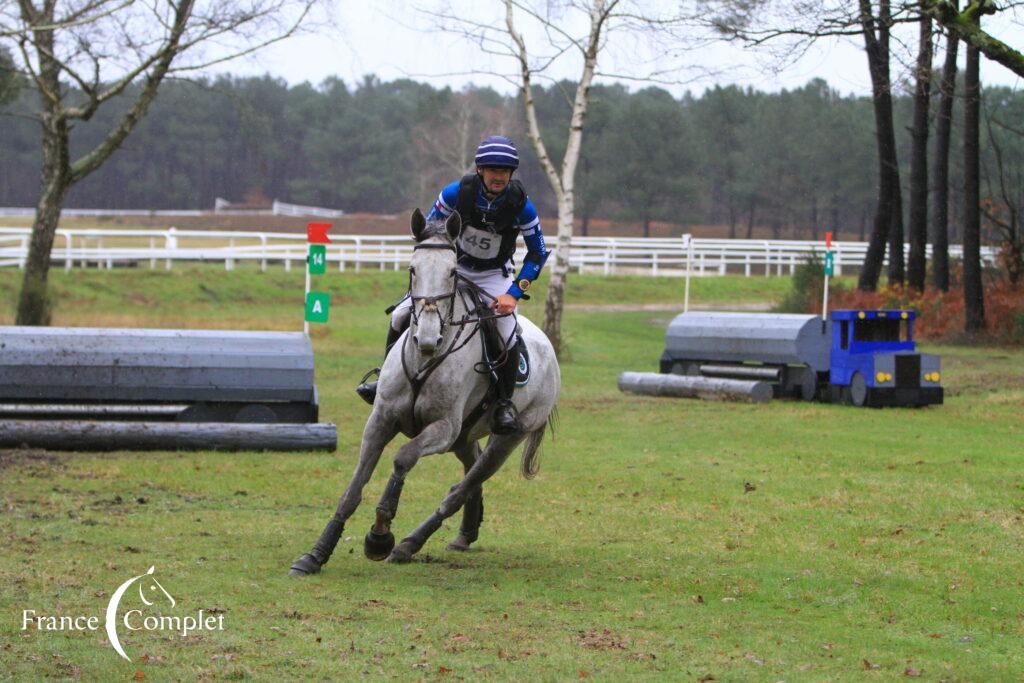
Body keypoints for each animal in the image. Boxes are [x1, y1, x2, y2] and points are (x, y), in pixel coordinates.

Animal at [288, 210, 561, 573]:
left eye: (452, 272)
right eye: (412, 269)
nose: (428, 339)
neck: (425, 360)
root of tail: (549, 348)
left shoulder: (442, 429)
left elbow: (403, 458)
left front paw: (379, 536)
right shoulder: (380, 420)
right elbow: (353, 490)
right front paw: (315, 555)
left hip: (506, 438)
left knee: (462, 488)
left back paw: (408, 544)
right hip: (465, 436)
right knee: (467, 475)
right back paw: (465, 533)